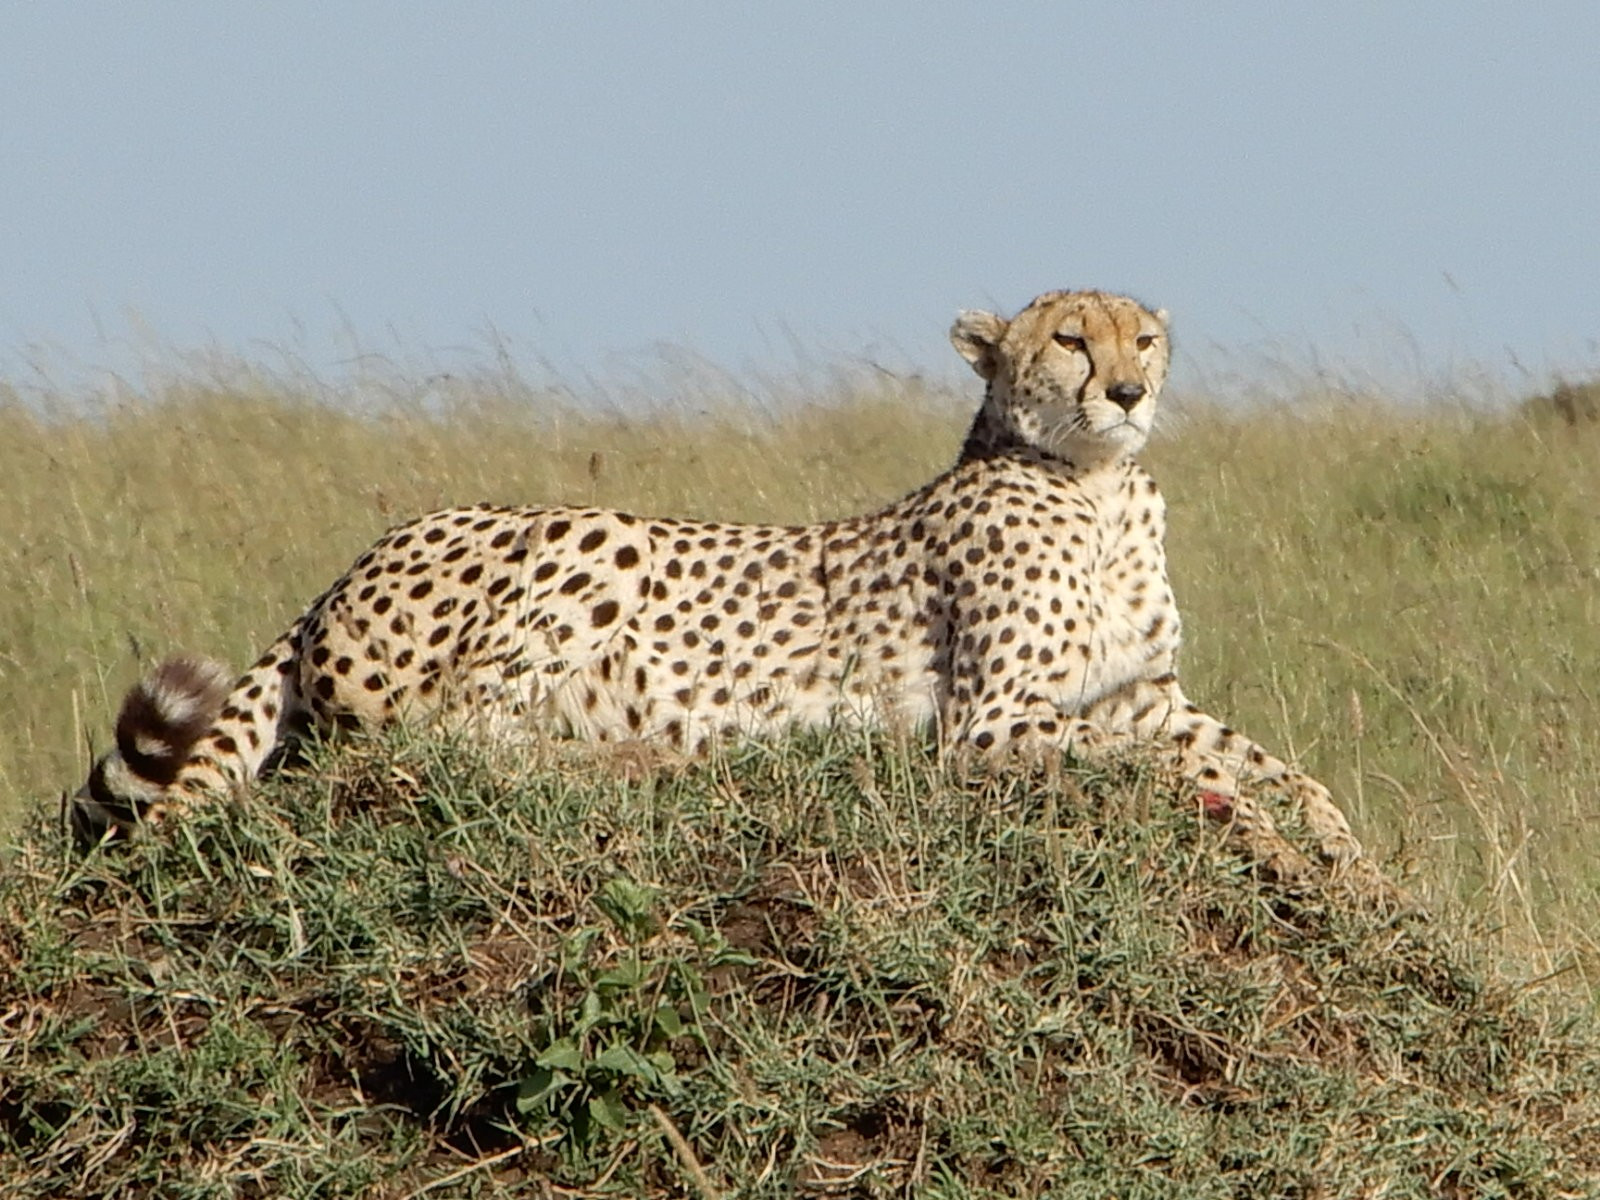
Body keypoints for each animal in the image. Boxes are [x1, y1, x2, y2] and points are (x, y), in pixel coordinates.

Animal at [75, 286, 1369, 876]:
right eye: (1066, 340)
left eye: (1142, 337)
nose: (1129, 391)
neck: (1097, 489)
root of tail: (357, 555)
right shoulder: (992, 725)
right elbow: (1157, 763)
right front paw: (1249, 823)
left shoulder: (1144, 694)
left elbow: (1264, 759)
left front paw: (1334, 843)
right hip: (592, 538)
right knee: (444, 742)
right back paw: (651, 756)